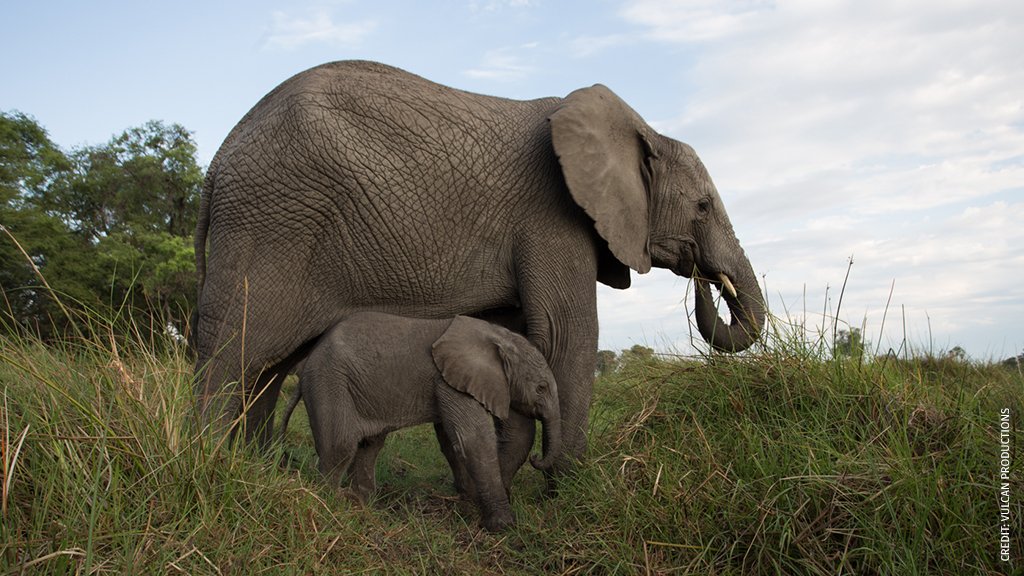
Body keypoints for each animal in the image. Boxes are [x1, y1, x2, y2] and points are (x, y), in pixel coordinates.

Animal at [193, 60, 766, 479]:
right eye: (702, 208)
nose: (701, 276)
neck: (640, 129)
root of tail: (217, 161)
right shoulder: (551, 213)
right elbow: (566, 336)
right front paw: (569, 493)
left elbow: (517, 338)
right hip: (270, 224)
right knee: (235, 353)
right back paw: (211, 468)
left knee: (267, 369)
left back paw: (256, 470)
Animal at [277, 312, 561, 532]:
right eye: (542, 388)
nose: (537, 458)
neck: (497, 335)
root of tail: (306, 366)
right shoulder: (449, 382)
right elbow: (472, 440)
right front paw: (503, 525)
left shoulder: (449, 382)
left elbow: (450, 439)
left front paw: (468, 498)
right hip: (329, 382)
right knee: (341, 446)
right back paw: (332, 505)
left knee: (369, 445)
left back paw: (363, 503)